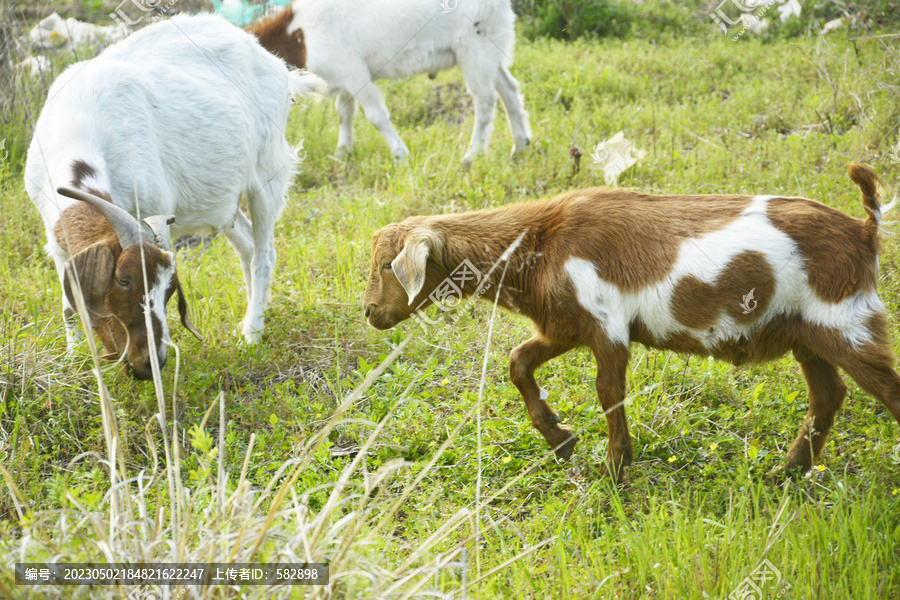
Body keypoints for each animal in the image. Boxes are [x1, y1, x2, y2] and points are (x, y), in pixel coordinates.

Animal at [23, 15, 326, 380]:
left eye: (168, 290)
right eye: (122, 280)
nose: (150, 363)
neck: (81, 127)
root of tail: (272, 62)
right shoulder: (56, 237)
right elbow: (70, 306)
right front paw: (74, 359)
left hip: (267, 170)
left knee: (264, 253)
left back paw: (252, 331)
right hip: (220, 197)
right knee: (247, 244)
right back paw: (258, 310)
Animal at [250, 0, 532, 163]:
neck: (300, 36)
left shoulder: (354, 72)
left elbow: (376, 115)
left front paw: (400, 155)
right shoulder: (343, 78)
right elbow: (344, 113)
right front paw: (343, 153)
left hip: (475, 48)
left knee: (484, 100)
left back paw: (472, 155)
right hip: (491, 49)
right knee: (508, 89)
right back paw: (520, 146)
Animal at [362, 165, 900, 482]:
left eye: (388, 265)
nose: (369, 313)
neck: (540, 241)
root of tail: (864, 229)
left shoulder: (605, 325)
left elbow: (608, 390)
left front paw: (616, 467)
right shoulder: (565, 323)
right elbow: (518, 362)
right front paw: (561, 440)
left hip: (847, 322)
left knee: (884, 390)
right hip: (807, 332)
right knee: (828, 394)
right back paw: (787, 472)